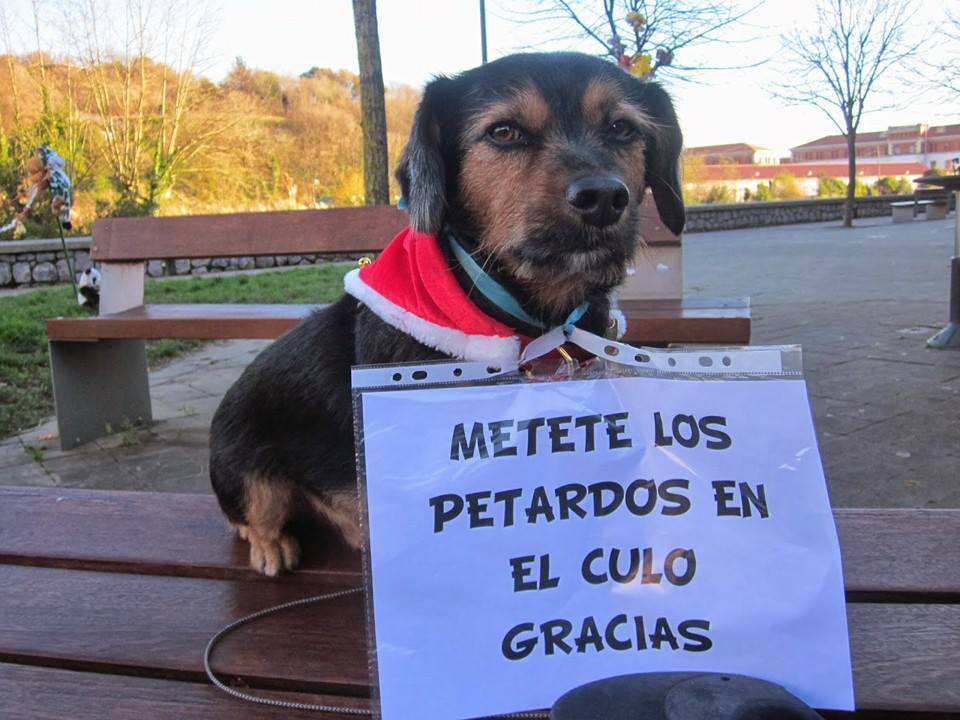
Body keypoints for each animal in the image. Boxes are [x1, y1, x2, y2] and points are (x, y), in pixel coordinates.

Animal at [209, 52, 684, 576]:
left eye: (622, 128)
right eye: (504, 132)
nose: (603, 197)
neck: (535, 320)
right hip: (245, 469)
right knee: (253, 515)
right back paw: (275, 544)